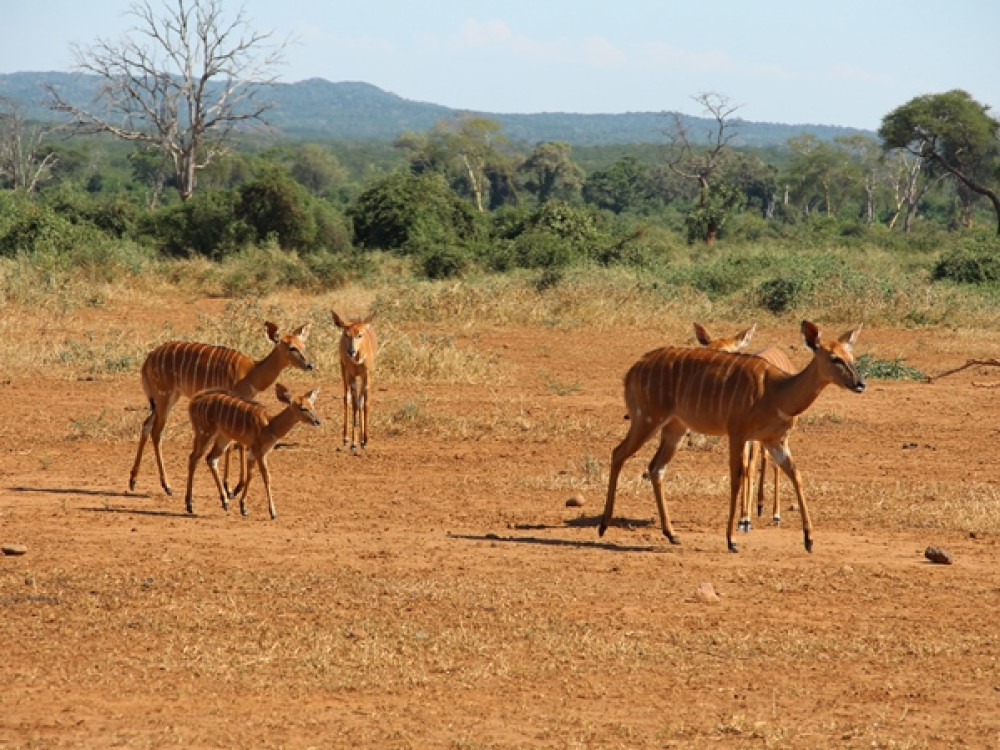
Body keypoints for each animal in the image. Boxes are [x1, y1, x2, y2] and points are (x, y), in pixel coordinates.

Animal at [128, 320, 312, 496]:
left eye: (303, 345)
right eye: (292, 347)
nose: (310, 365)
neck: (251, 372)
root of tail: (148, 359)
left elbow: (238, 442)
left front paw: (234, 487)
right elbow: (234, 445)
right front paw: (231, 487)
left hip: (165, 399)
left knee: (146, 425)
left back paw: (133, 480)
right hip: (164, 396)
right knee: (156, 432)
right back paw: (167, 486)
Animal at [182, 384, 318, 520]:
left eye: (312, 406)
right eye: (303, 408)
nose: (318, 421)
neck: (270, 425)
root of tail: (194, 401)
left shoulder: (253, 452)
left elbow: (250, 475)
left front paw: (243, 508)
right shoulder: (259, 452)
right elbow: (266, 477)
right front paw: (273, 513)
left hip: (223, 437)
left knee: (211, 459)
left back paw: (225, 502)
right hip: (205, 432)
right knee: (194, 457)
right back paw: (189, 505)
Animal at [330, 312, 376, 452]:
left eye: (360, 335)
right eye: (347, 334)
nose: (351, 351)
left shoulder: (367, 376)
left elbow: (365, 404)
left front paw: (365, 440)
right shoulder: (352, 376)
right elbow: (355, 404)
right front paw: (354, 443)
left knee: (359, 401)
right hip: (344, 370)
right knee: (348, 399)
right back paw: (346, 439)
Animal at [600, 320, 868, 556]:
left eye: (852, 358)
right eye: (834, 358)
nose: (860, 383)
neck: (776, 392)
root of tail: (633, 369)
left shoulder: (774, 440)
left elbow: (796, 475)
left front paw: (809, 540)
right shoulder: (737, 433)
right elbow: (737, 478)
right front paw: (732, 540)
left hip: (675, 429)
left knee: (656, 467)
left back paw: (672, 534)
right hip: (646, 420)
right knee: (618, 453)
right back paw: (603, 525)